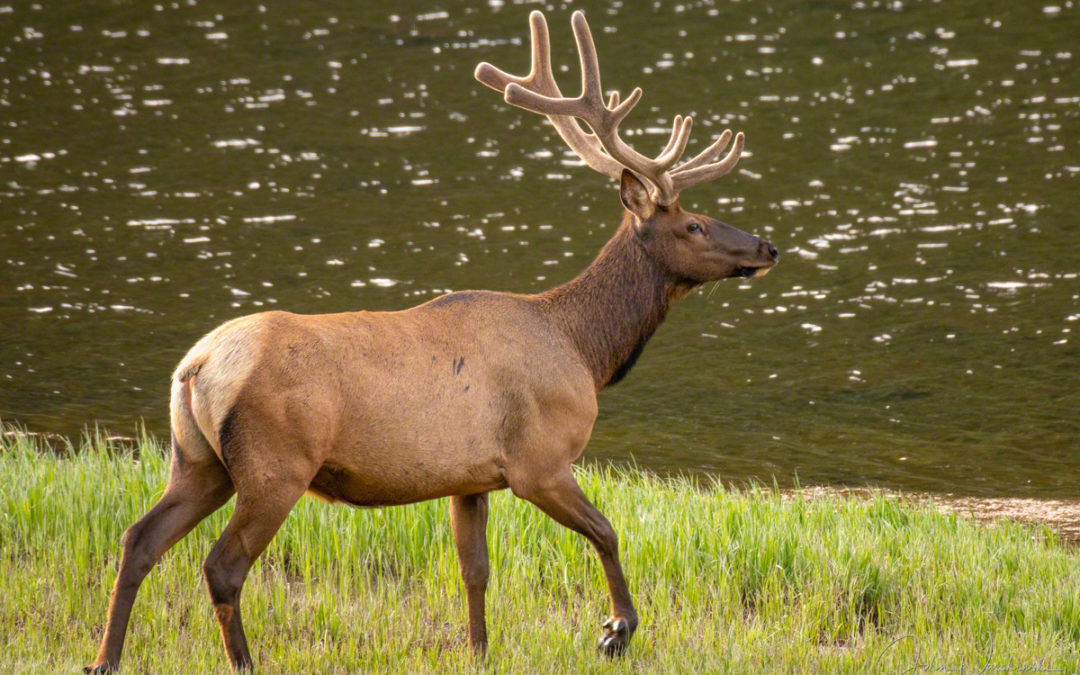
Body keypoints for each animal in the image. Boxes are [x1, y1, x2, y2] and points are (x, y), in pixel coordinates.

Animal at [84, 9, 777, 669]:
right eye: (694, 223)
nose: (767, 247)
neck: (585, 350)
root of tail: (196, 368)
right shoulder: (540, 459)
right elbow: (607, 531)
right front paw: (617, 630)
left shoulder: (470, 477)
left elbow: (475, 571)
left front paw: (480, 651)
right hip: (274, 465)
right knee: (221, 565)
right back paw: (244, 661)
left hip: (196, 460)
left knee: (138, 539)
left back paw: (106, 659)